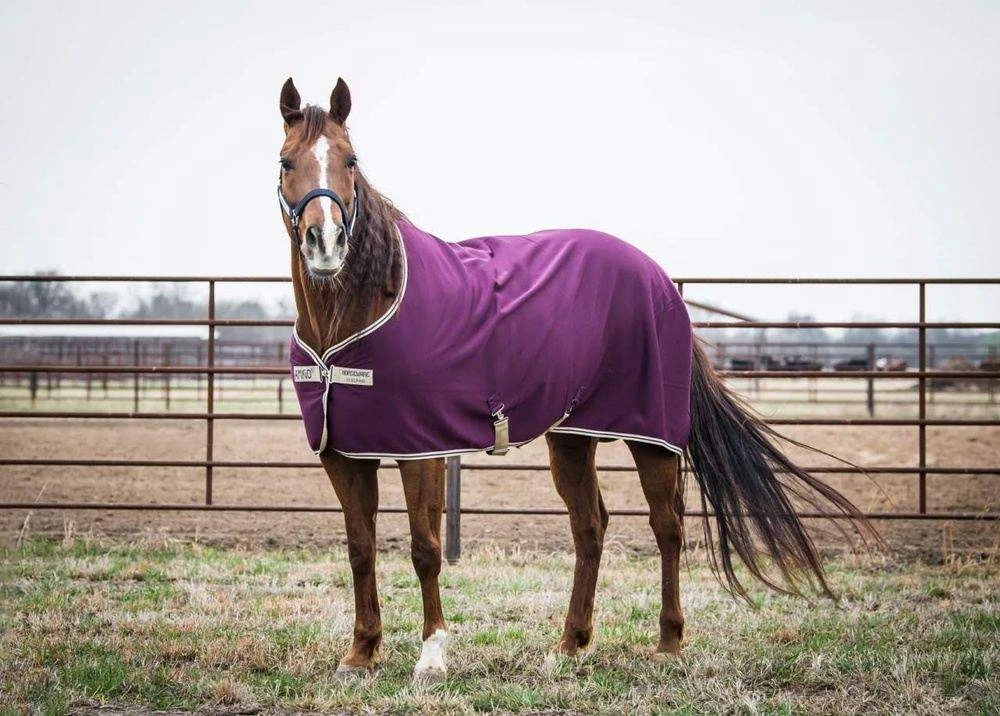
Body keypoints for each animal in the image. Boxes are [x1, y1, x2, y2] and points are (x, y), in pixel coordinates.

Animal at [275, 76, 874, 682]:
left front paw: (433, 655)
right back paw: (570, 642)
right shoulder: (343, 453)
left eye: (351, 161)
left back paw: (668, 641)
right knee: (591, 526)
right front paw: (361, 652)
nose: (325, 242)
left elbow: (424, 547)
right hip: (572, 434)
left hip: (650, 436)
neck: (356, 314)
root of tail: (658, 278)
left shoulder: (419, 449)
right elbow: (360, 547)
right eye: (286, 162)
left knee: (667, 526)